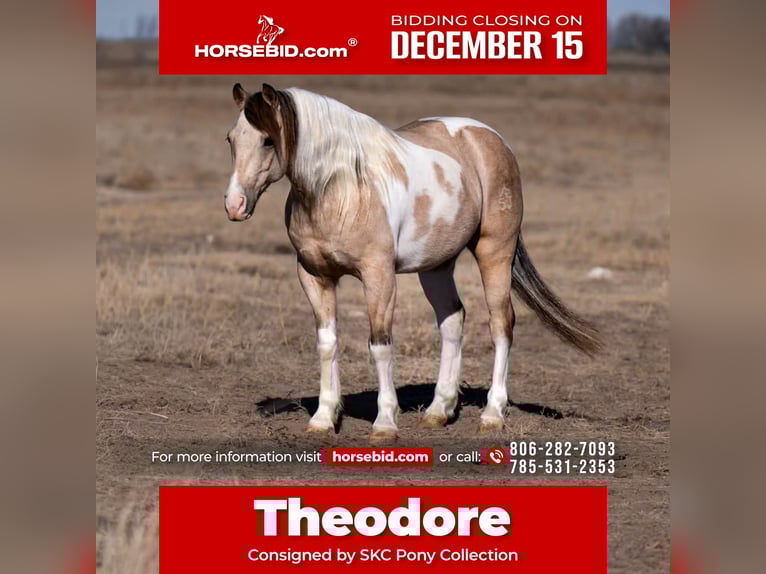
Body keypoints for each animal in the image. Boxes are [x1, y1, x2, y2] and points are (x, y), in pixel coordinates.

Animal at [223, 83, 601, 442]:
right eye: (231, 139)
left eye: (268, 140)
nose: (234, 205)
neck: (342, 191)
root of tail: (492, 139)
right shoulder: (315, 275)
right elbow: (327, 343)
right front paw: (323, 419)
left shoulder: (379, 276)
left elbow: (379, 345)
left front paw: (384, 423)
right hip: (436, 266)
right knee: (452, 320)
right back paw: (438, 410)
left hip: (495, 252)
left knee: (501, 325)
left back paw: (492, 414)